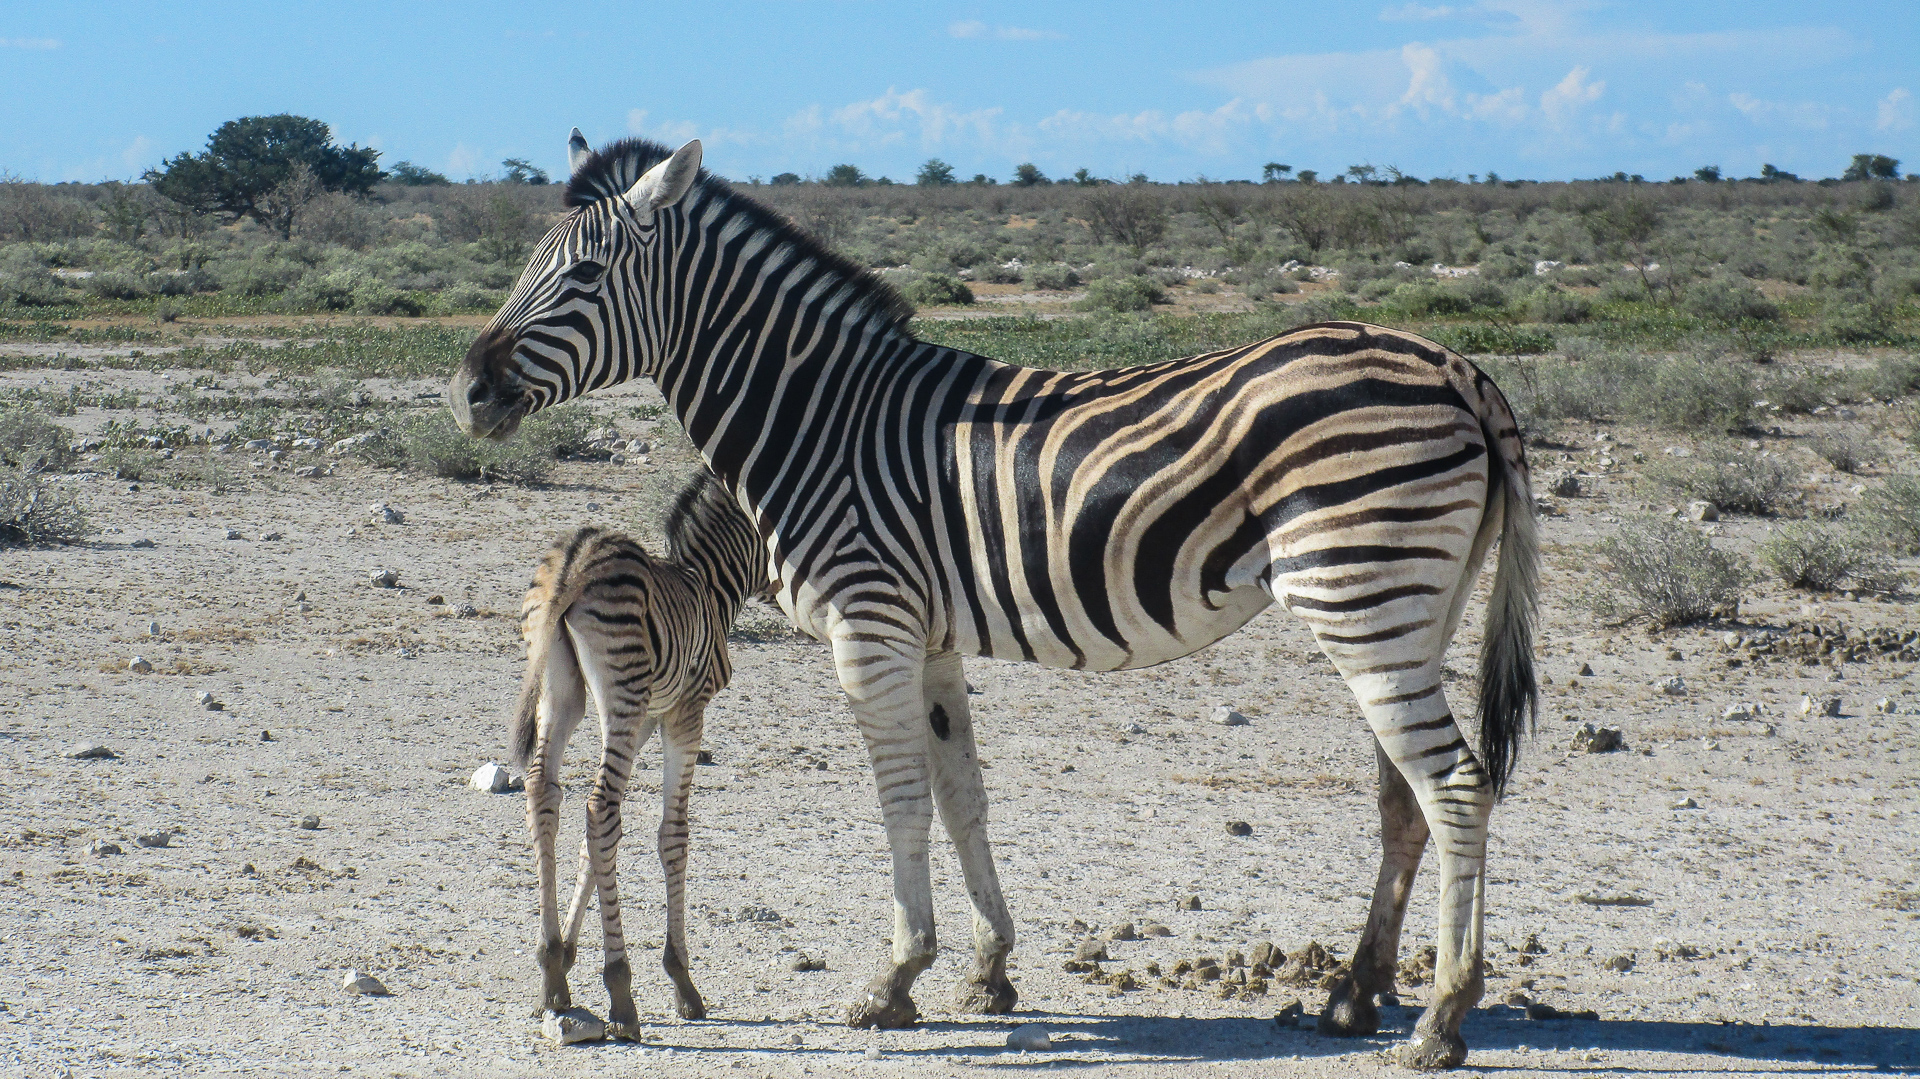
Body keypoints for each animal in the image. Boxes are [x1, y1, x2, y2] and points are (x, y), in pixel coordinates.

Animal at [518, 470, 771, 1036]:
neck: (708, 584)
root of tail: (577, 556)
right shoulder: (684, 711)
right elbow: (673, 834)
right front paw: (682, 981)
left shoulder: (650, 718)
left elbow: (594, 846)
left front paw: (569, 953)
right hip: (622, 695)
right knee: (598, 807)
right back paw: (621, 994)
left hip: (564, 690)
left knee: (547, 791)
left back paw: (550, 972)